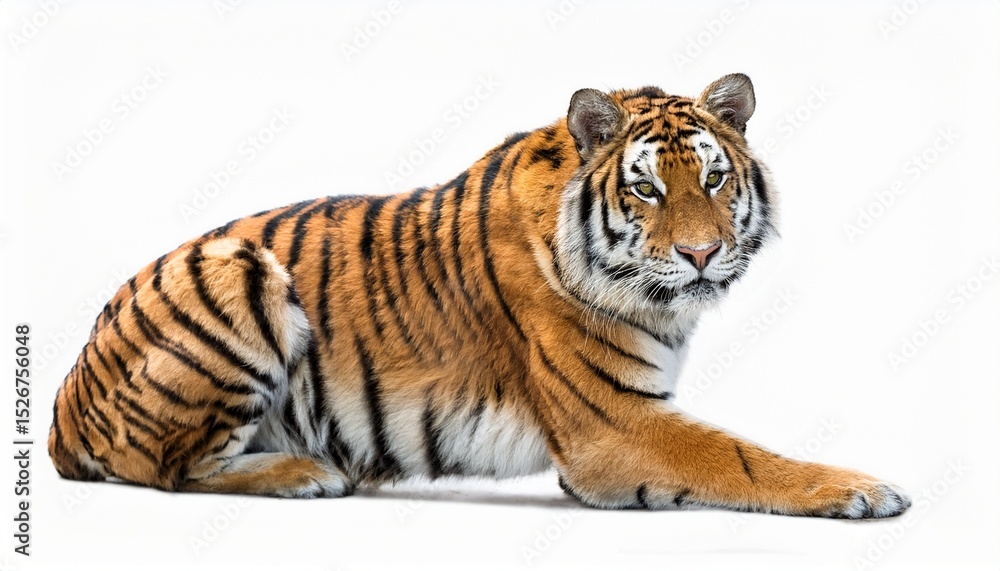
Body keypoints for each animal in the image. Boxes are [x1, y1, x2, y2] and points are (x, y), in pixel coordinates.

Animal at [48, 73, 911, 518]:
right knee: (168, 465)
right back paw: (305, 472)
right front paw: (865, 488)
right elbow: (743, 456)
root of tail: (63, 394)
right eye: (646, 189)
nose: (701, 253)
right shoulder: (613, 425)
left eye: (714, 177)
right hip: (235, 266)